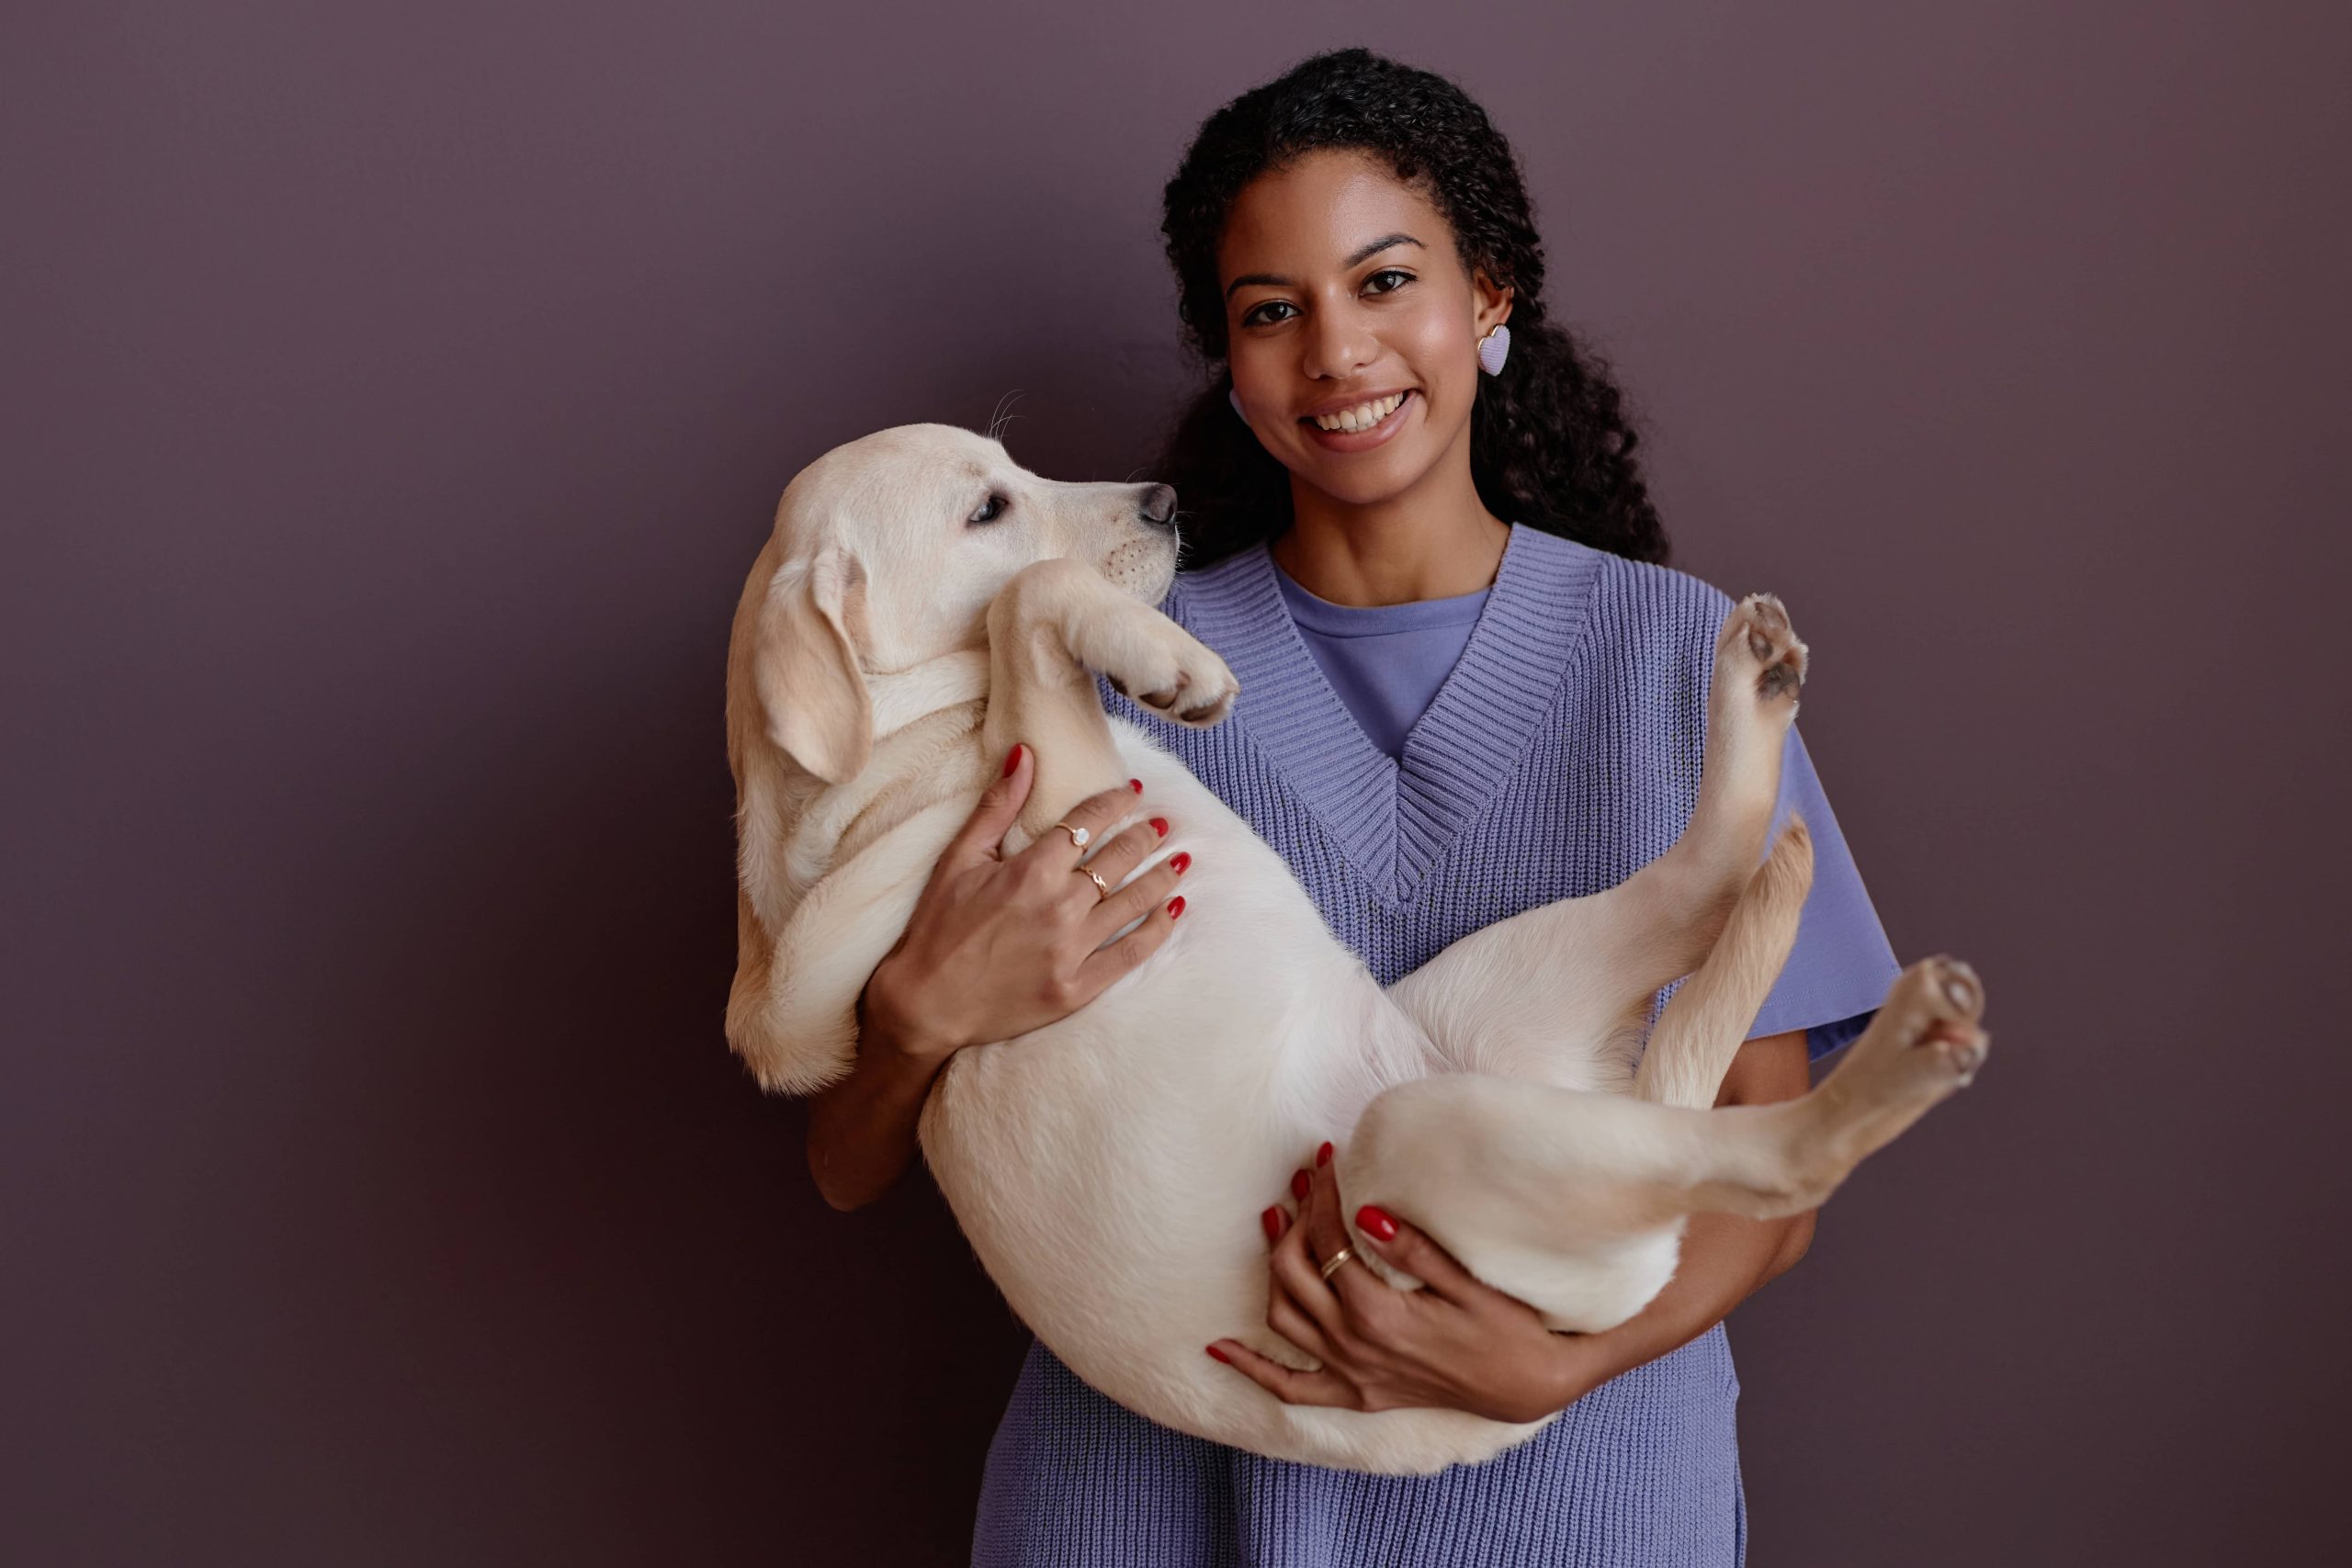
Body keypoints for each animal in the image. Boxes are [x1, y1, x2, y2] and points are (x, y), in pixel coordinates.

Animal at [719, 423, 1984, 1476]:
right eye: (985, 507)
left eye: (1016, 467)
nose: (1166, 500)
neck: (891, 754)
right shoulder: (1072, 802)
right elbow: (1027, 592)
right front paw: (1170, 663)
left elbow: (1028, 601)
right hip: (1429, 1142)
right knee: (1772, 1155)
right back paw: (1907, 1050)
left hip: (1509, 991)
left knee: (1703, 879)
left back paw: (1755, 690)